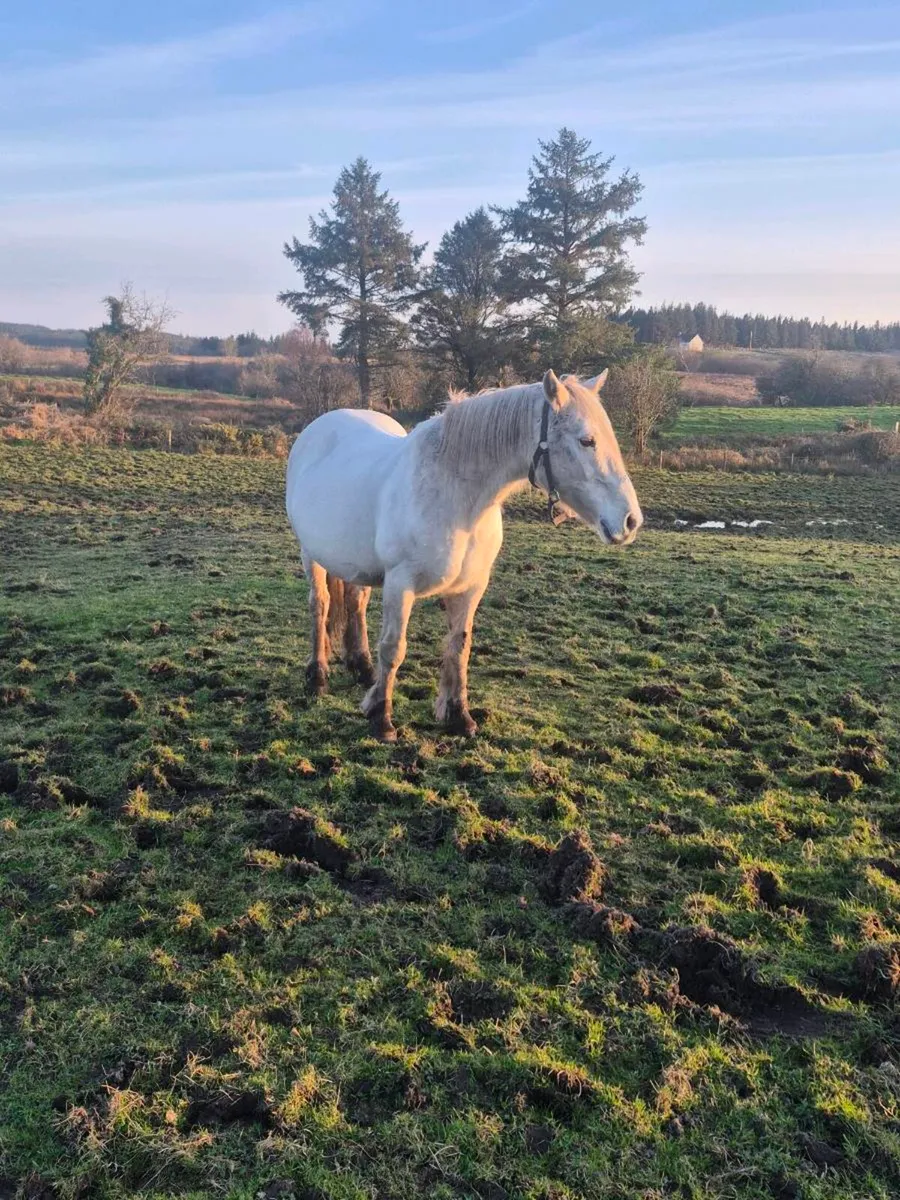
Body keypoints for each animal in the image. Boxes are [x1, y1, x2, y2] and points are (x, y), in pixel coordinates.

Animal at [285, 369, 643, 741]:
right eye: (587, 441)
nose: (630, 521)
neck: (456, 496)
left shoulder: (471, 587)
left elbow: (459, 647)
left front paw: (459, 716)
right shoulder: (400, 584)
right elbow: (394, 648)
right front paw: (381, 718)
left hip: (357, 564)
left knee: (355, 603)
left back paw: (363, 669)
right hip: (311, 555)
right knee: (321, 605)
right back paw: (318, 676)